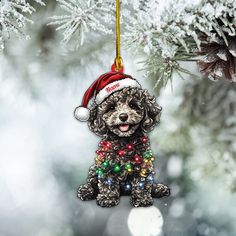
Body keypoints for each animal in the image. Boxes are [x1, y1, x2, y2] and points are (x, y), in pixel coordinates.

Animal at [74, 71, 169, 206]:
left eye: (132, 105)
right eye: (111, 107)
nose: (123, 116)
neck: (124, 143)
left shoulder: (143, 165)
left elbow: (142, 183)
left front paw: (142, 199)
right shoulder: (107, 164)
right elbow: (108, 182)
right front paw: (107, 198)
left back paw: (158, 189)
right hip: (94, 168)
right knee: (92, 182)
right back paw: (86, 190)